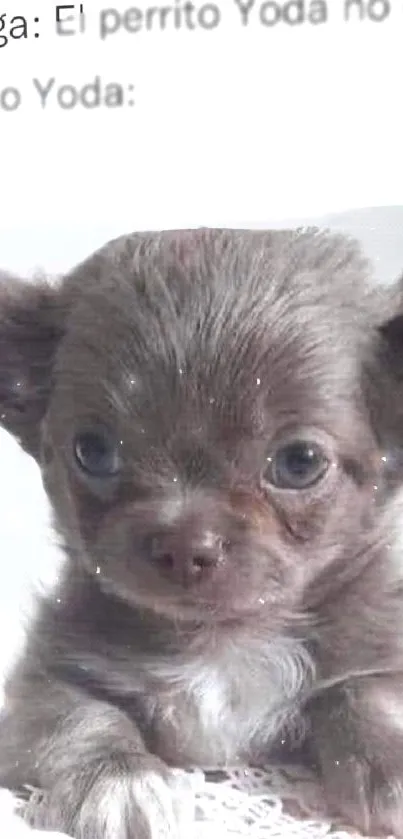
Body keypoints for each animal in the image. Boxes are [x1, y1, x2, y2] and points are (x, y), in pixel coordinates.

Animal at [0, 230, 403, 839]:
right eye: (92, 452)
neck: (223, 641)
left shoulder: (373, 649)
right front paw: (118, 779)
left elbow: (366, 693)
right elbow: (79, 715)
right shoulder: (43, 677)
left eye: (300, 462)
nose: (184, 546)